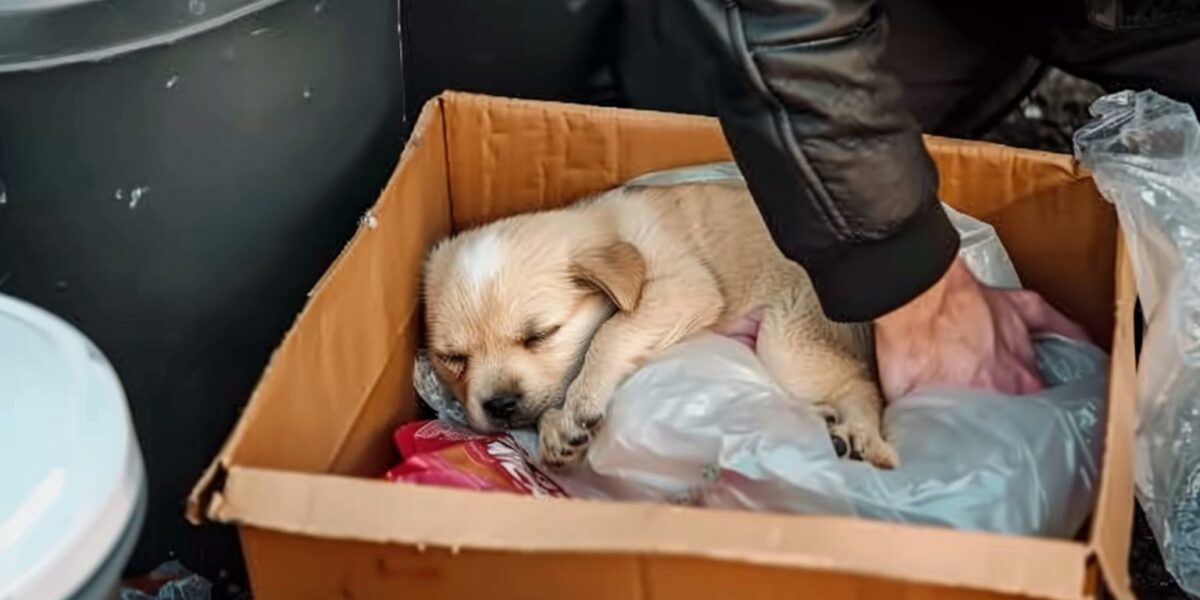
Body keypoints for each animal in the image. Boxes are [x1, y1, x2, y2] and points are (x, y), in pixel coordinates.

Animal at [422, 180, 902, 470]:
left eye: (540, 335)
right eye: (453, 358)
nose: (500, 406)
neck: (607, 228)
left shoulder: (685, 286)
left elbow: (611, 332)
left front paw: (580, 402)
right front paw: (556, 428)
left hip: (787, 341)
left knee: (861, 383)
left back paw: (861, 435)